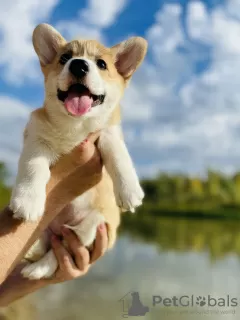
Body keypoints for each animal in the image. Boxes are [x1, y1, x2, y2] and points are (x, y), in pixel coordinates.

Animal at [9, 23, 147, 278]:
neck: (76, 126)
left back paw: (38, 268)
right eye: (65, 58)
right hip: (45, 230)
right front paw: (28, 201)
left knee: (61, 247)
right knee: (46, 245)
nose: (79, 64)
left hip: (93, 225)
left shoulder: (109, 131)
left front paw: (129, 190)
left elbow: (118, 152)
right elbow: (34, 166)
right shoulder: (36, 138)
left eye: (101, 64)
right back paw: (32, 261)